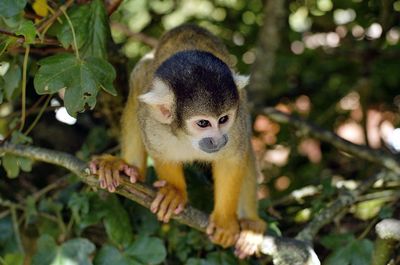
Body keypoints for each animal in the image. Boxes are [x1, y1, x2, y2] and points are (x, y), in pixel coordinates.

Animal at [90, 24, 266, 252]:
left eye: (223, 119)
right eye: (203, 123)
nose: (218, 141)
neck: (186, 137)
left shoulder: (235, 126)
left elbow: (232, 159)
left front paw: (225, 221)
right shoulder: (153, 123)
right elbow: (161, 153)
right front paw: (174, 193)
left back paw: (251, 224)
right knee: (139, 79)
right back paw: (127, 168)